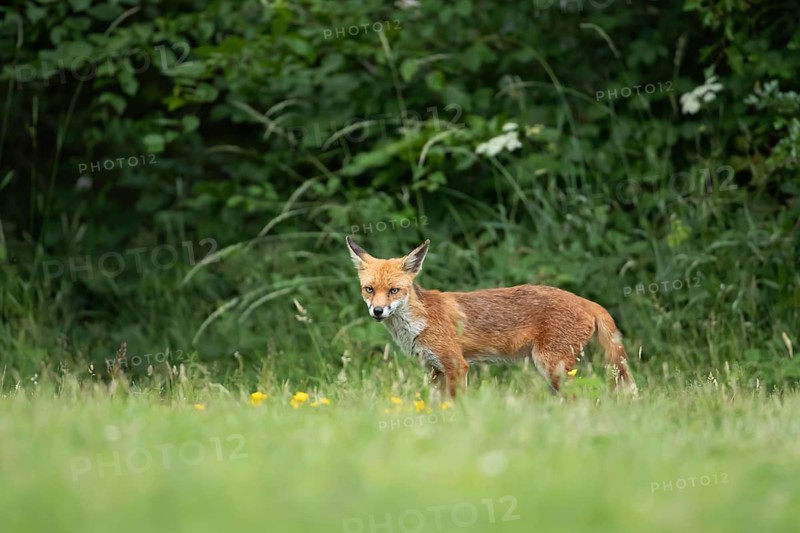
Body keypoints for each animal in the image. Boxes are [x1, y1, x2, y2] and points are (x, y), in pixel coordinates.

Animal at [346, 236, 636, 398]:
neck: (419, 323)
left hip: (551, 367)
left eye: (394, 291)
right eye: (369, 289)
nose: (378, 311)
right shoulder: (435, 370)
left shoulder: (457, 366)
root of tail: (587, 301)